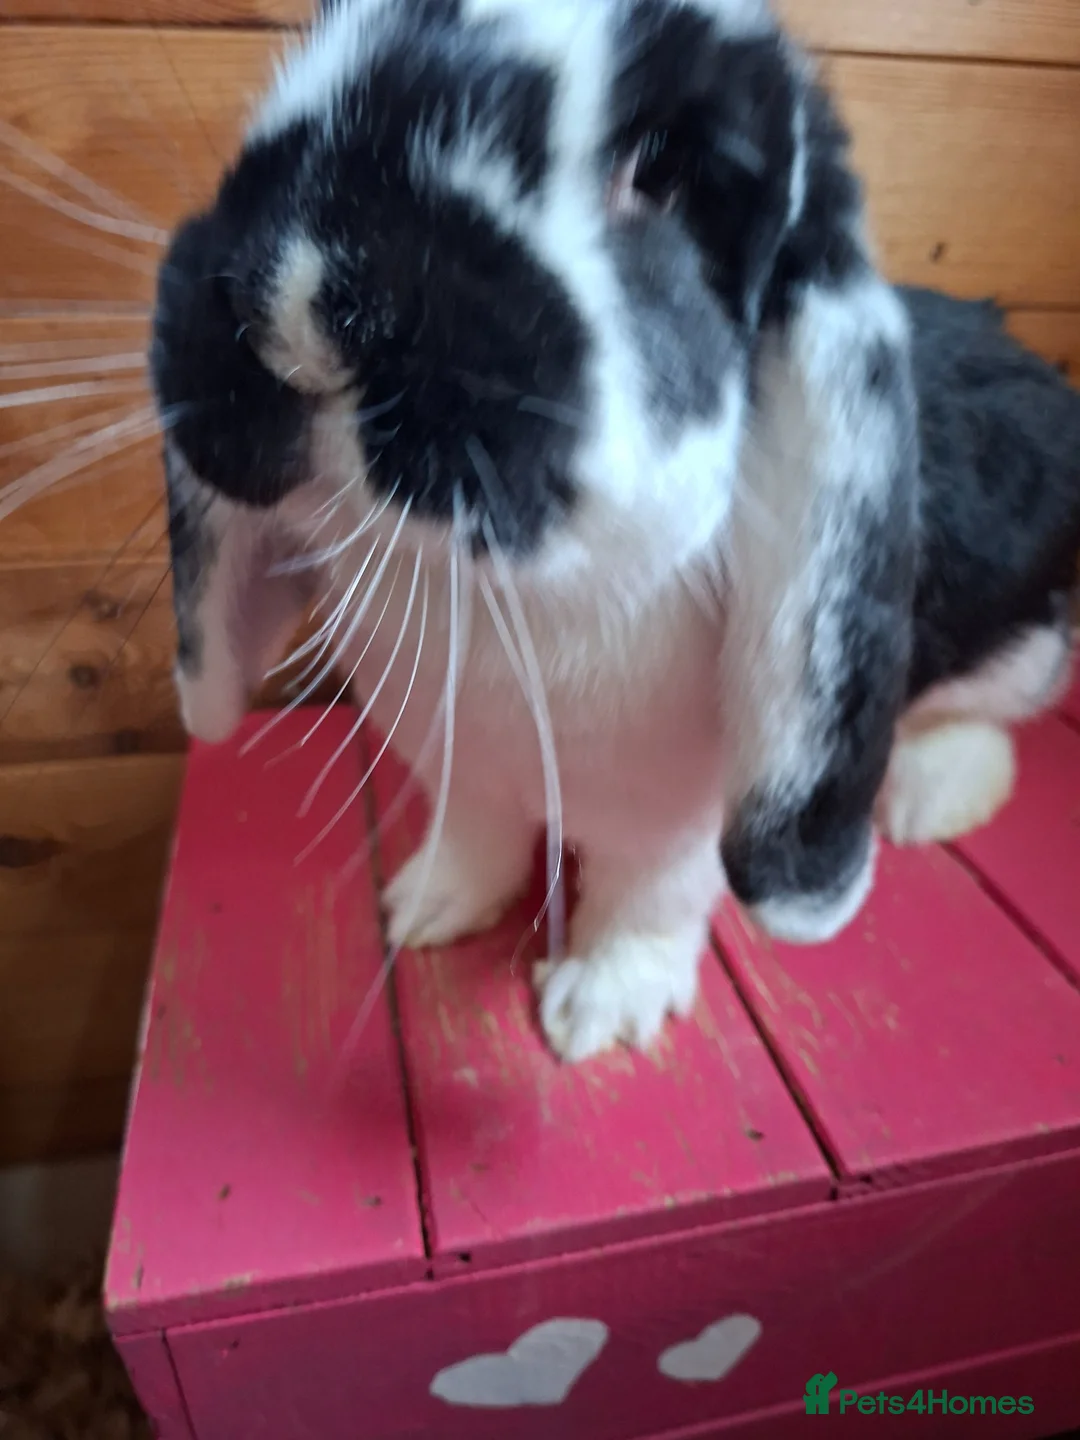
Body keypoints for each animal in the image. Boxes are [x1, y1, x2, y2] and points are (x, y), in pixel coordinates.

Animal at [150, 0, 1075, 1063]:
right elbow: (475, 838)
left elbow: (648, 897)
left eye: (659, 175)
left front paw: (598, 1009)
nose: (293, 301)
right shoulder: (460, 761)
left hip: (1009, 642)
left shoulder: (679, 818)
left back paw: (929, 795)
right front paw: (423, 908)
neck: (506, 592)